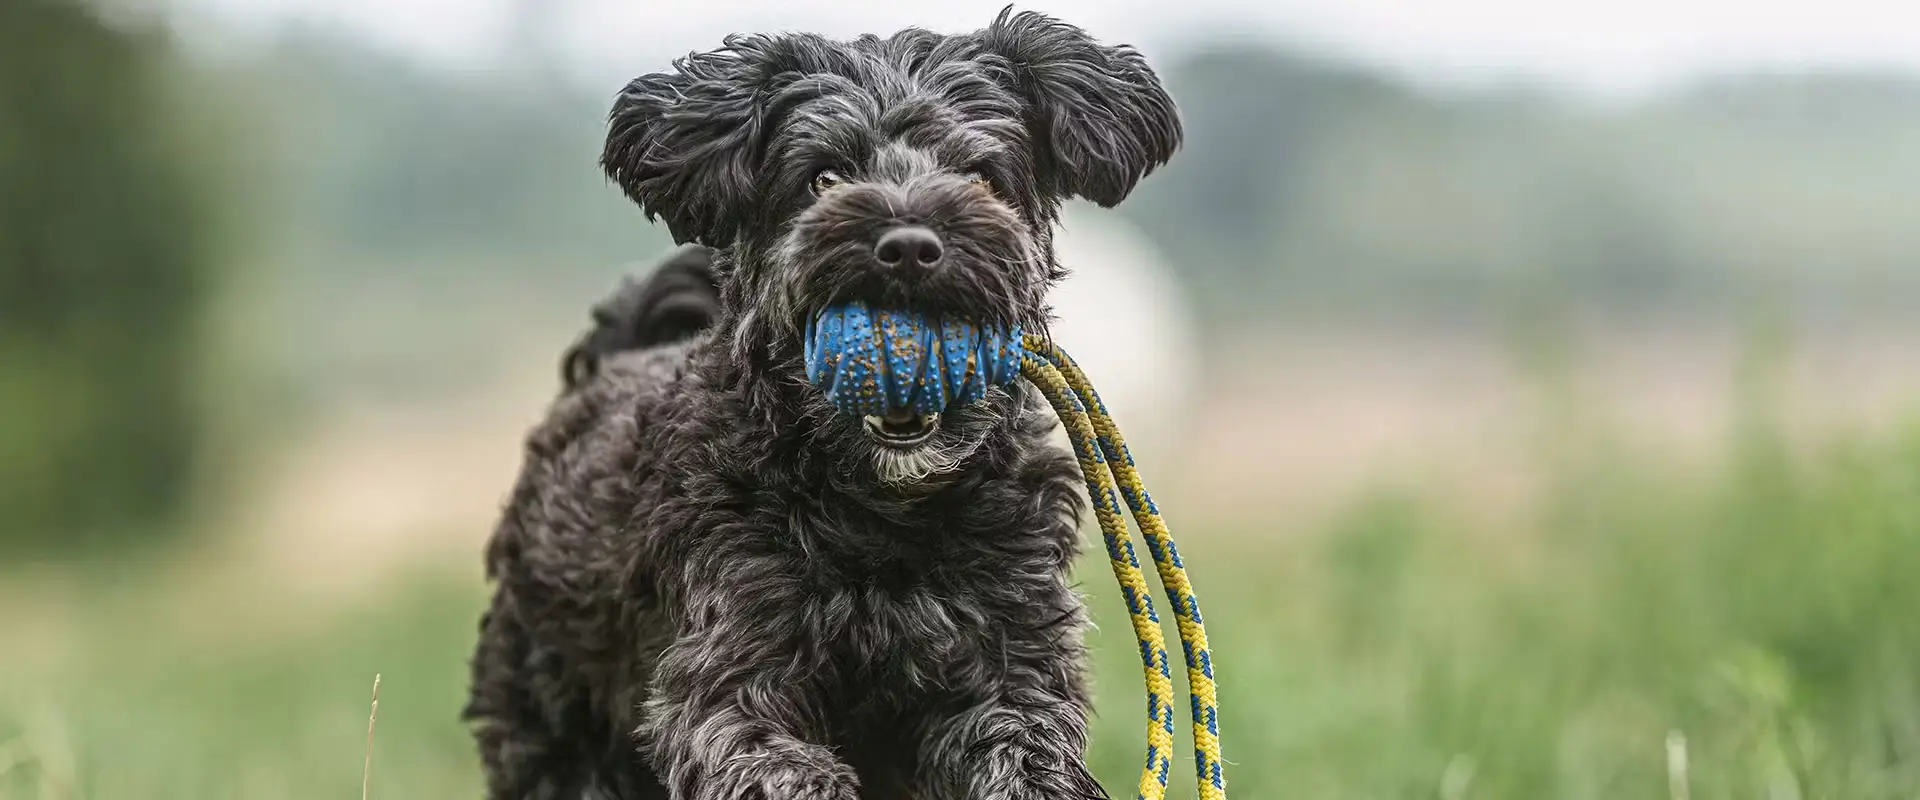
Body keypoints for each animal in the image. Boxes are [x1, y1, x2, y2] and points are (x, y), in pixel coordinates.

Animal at [466, 9, 1182, 794]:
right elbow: (763, 749)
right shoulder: (727, 664)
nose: (909, 246)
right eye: (824, 176)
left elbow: (1024, 749)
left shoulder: (1011, 656)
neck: (884, 514)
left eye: (980, 175)